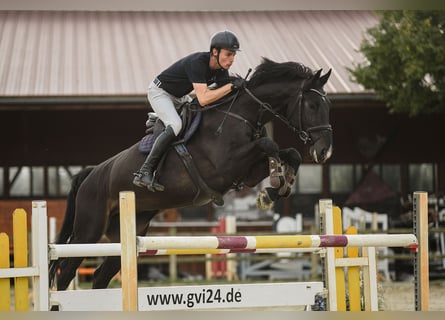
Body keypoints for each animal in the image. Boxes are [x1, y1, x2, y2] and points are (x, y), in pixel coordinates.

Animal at [50, 57, 332, 290]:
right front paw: (274, 184)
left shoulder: (246, 171)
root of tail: (91, 174)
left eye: (325, 104)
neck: (240, 115)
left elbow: (290, 153)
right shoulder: (226, 166)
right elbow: (268, 144)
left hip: (128, 230)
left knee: (100, 275)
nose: (324, 151)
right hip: (88, 230)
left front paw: (277, 187)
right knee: (65, 272)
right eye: (312, 105)